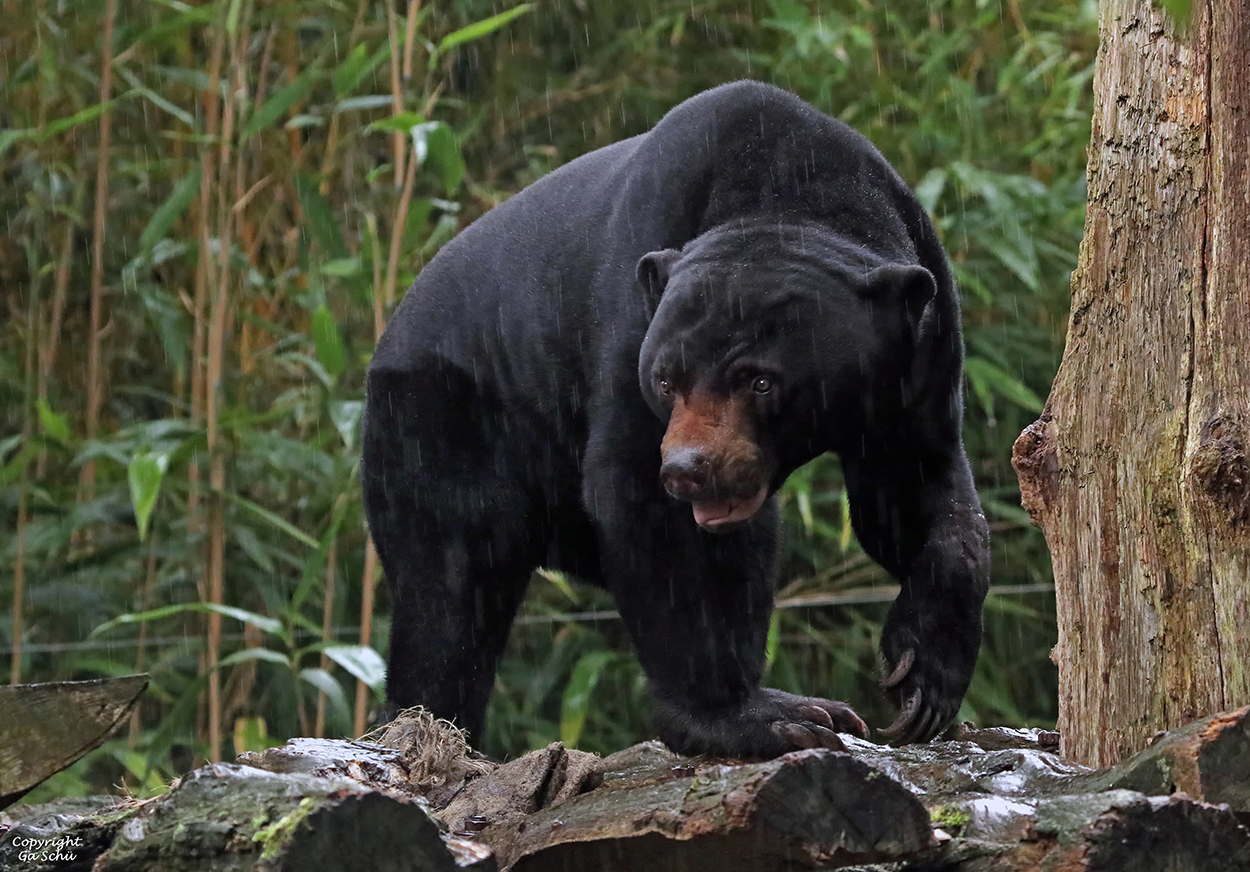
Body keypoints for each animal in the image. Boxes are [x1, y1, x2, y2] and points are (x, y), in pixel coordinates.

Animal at [360, 81, 985, 754]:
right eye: (665, 380)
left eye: (761, 381)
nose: (690, 469)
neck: (794, 196)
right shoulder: (628, 313)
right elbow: (646, 504)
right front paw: (758, 717)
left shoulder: (919, 357)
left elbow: (913, 492)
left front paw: (922, 683)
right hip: (441, 420)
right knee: (452, 591)